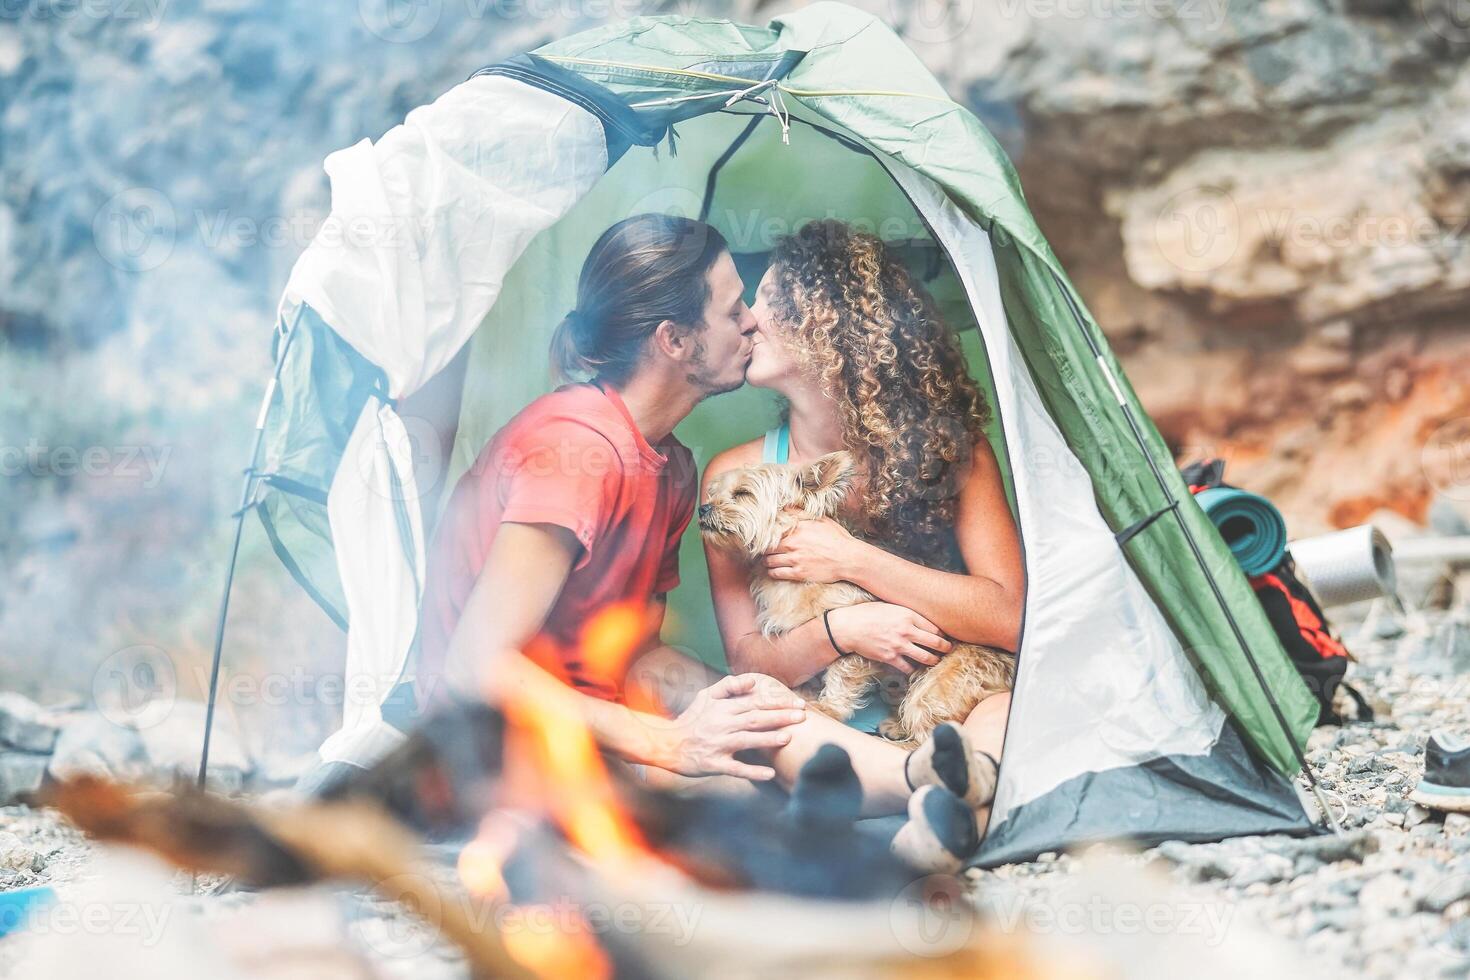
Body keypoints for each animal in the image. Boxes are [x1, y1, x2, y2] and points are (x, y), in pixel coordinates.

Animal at [696, 452, 1011, 743]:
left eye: (742, 493)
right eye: (714, 492)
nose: (702, 507)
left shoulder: (858, 626)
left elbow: (843, 672)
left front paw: (829, 707)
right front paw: (807, 689)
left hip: (938, 687)